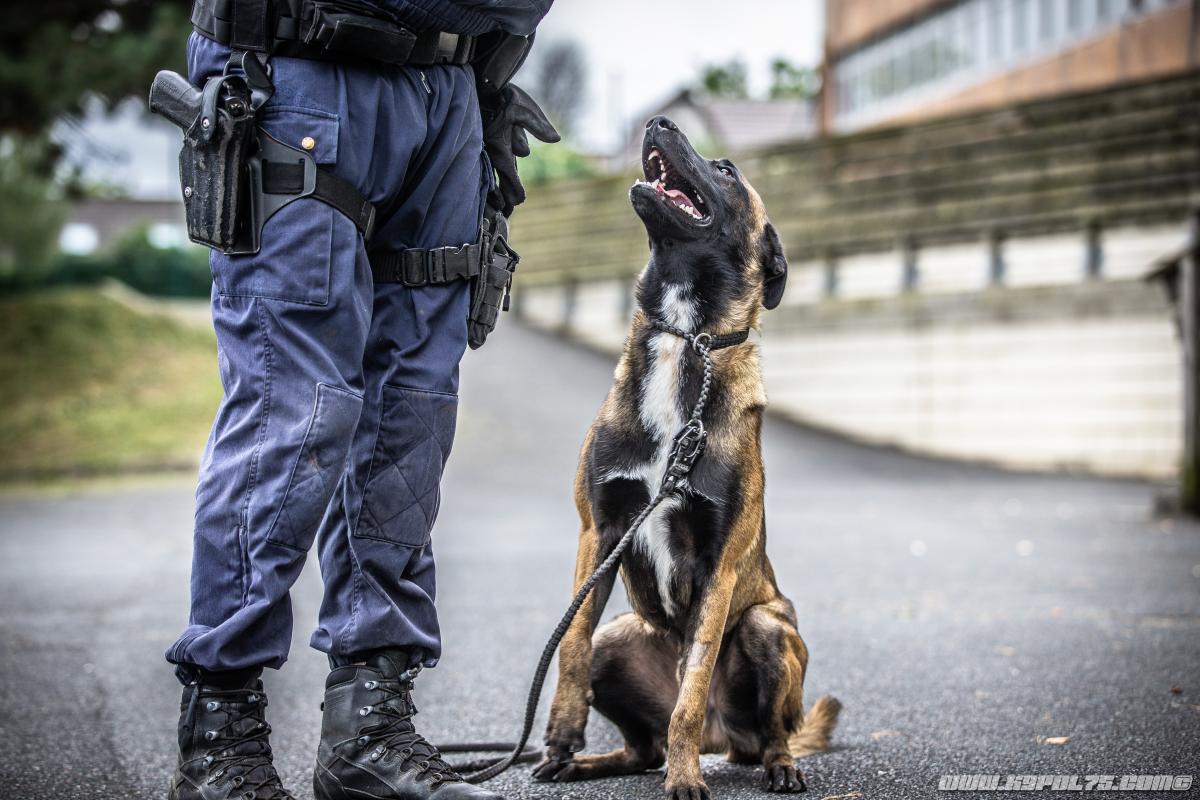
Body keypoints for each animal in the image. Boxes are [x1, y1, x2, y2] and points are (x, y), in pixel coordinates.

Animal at [531, 116, 840, 799]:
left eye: (726, 169)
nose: (658, 122)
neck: (685, 336)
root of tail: (727, 739)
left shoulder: (721, 564)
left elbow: (692, 689)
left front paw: (685, 775)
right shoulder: (600, 530)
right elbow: (569, 643)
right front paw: (562, 735)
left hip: (768, 626)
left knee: (768, 730)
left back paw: (776, 764)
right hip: (620, 636)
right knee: (637, 744)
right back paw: (591, 761)